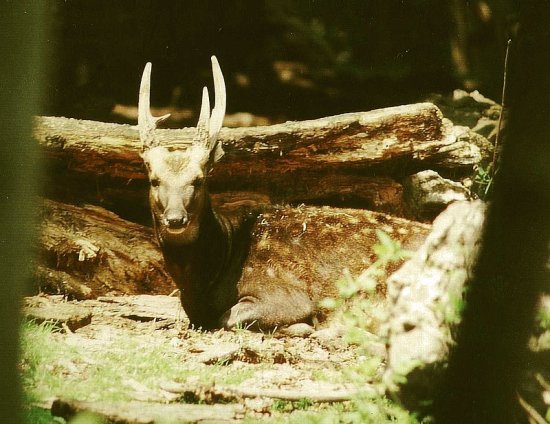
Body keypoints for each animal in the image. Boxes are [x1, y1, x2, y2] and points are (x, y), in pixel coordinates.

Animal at [138, 55, 432, 332]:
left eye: (199, 180)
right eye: (155, 180)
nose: (175, 219)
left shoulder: (285, 293)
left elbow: (228, 318)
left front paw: (301, 327)